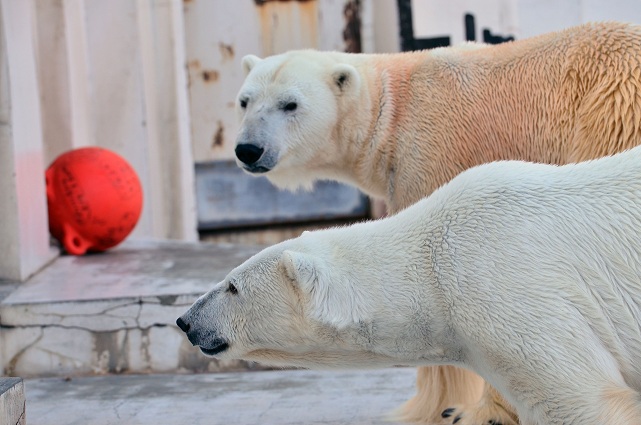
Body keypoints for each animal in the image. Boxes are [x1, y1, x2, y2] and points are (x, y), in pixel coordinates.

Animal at [232, 20, 640, 424]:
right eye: (244, 100)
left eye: (290, 104)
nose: (248, 149)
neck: (389, 109)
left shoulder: (429, 153)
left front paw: (439, 409)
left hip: (609, 112)